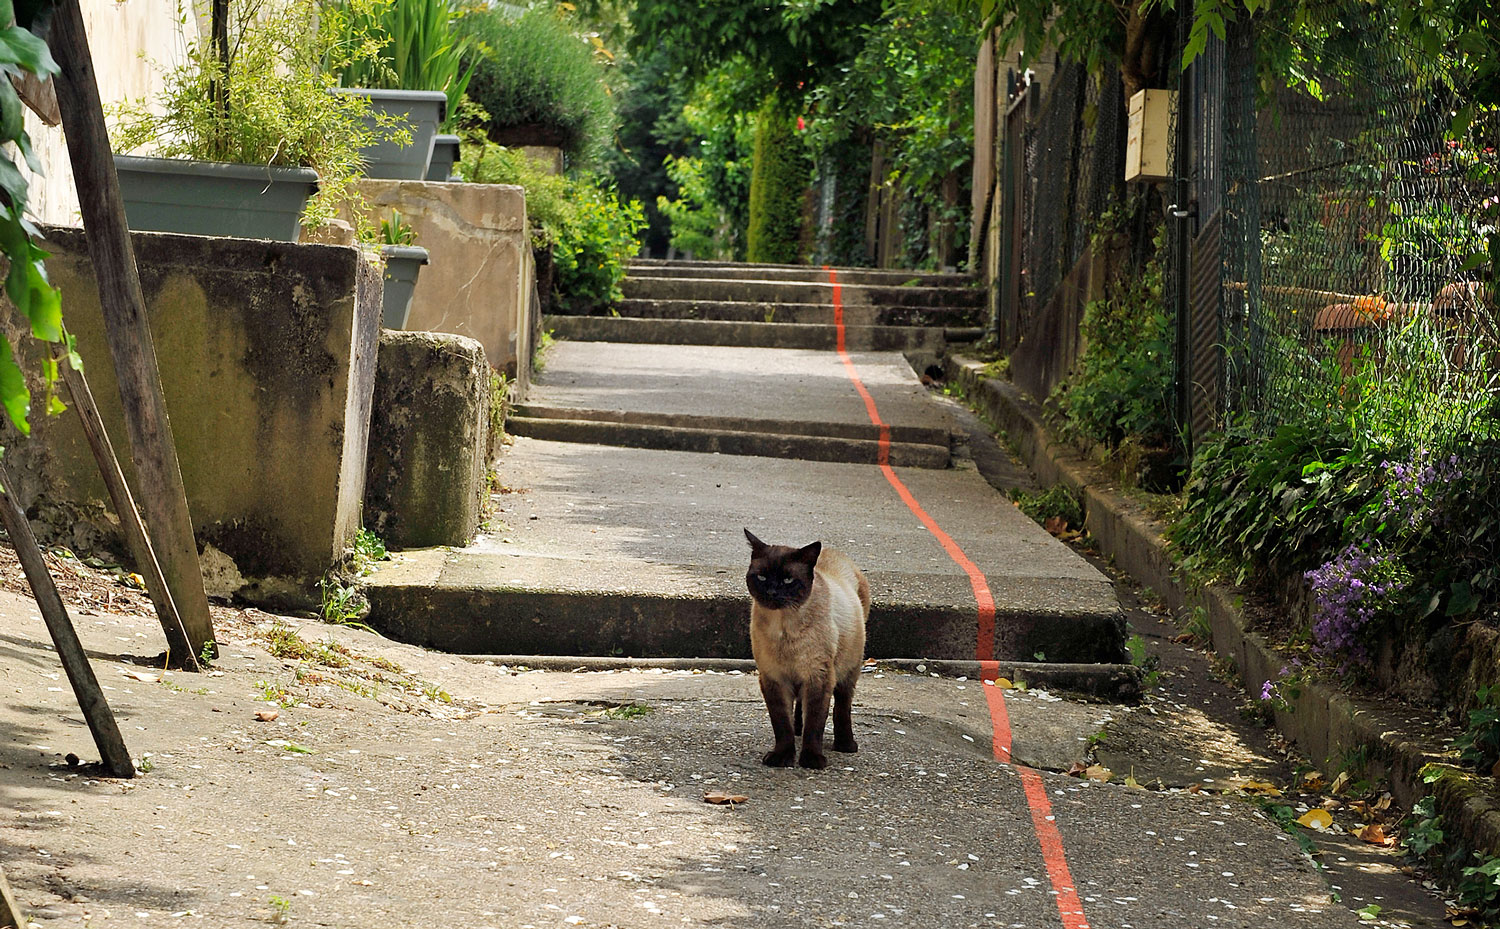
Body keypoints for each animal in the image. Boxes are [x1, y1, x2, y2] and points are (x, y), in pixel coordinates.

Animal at [744, 531, 876, 768]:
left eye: (787, 580)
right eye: (762, 578)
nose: (772, 591)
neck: (783, 626)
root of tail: (834, 551)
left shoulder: (818, 676)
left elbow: (815, 723)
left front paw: (811, 760)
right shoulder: (774, 678)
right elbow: (782, 724)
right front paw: (782, 757)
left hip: (848, 671)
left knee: (842, 707)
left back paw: (845, 745)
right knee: (799, 708)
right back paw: (798, 730)